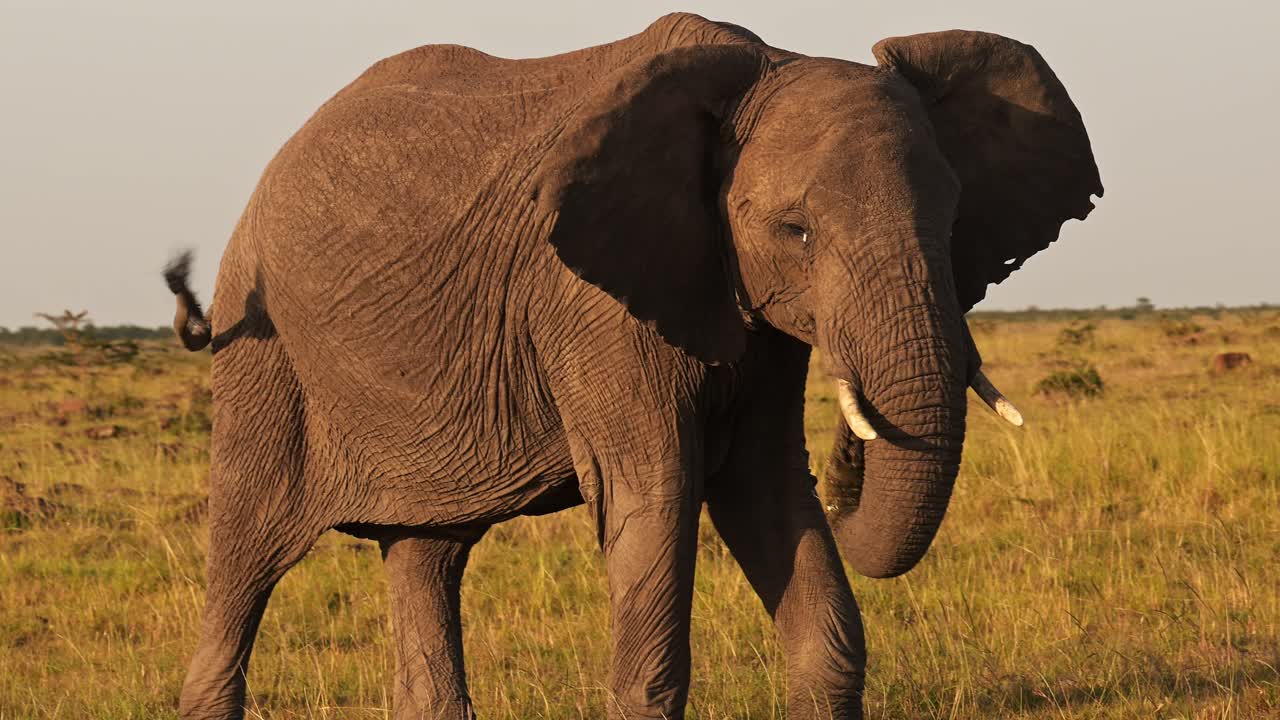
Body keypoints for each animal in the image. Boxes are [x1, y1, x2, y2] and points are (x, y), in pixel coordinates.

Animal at [163, 13, 1101, 720]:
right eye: (796, 231)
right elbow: (655, 492)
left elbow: (767, 491)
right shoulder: (593, 304)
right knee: (245, 554)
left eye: (954, 220)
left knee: (426, 551)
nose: (853, 451)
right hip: (266, 358)